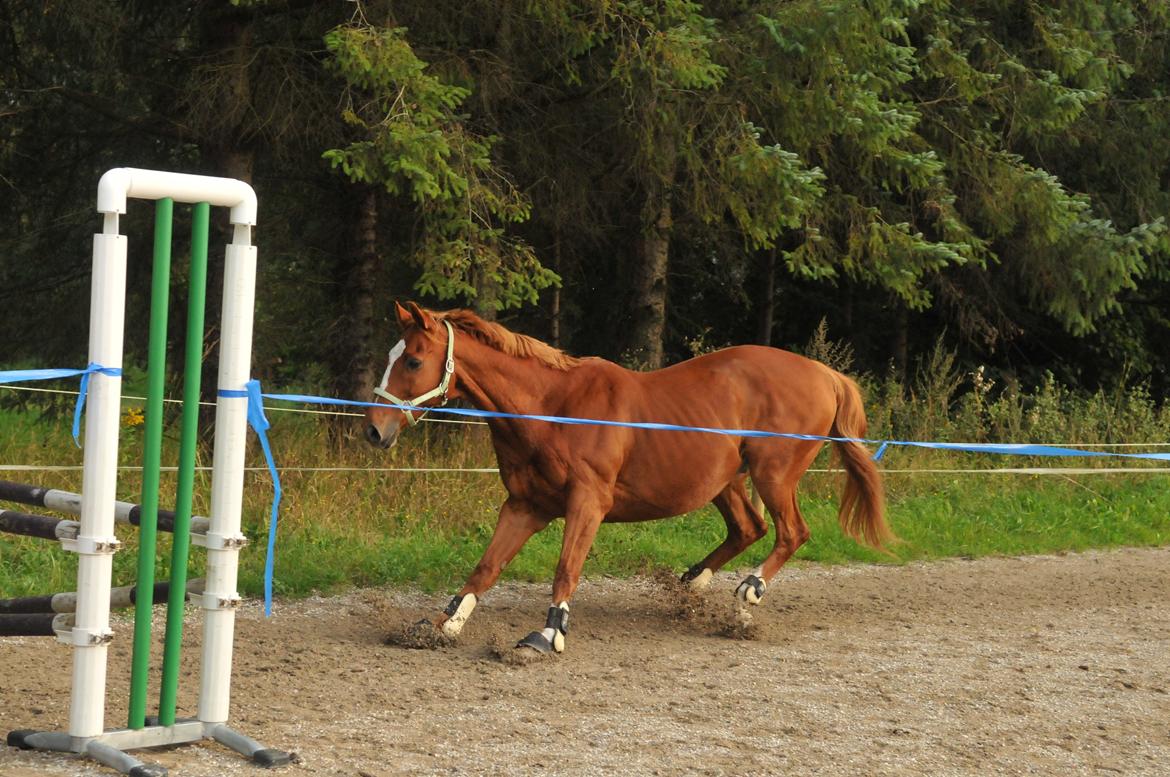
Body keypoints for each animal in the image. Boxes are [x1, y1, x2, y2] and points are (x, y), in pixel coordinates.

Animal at [365, 299, 884, 650]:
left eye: (413, 360)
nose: (374, 430)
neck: (552, 409)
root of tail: (826, 375)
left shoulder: (587, 504)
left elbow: (566, 568)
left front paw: (548, 634)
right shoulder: (525, 505)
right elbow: (486, 567)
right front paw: (443, 625)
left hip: (773, 474)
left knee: (791, 532)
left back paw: (748, 593)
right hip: (726, 481)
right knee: (749, 527)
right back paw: (693, 585)